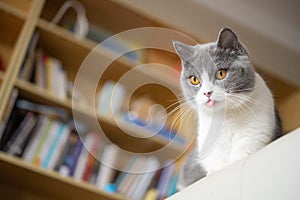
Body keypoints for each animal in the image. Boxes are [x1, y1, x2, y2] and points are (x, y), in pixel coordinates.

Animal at [172, 27, 282, 189]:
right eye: (194, 79)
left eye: (221, 73)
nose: (207, 93)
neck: (227, 118)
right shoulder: (209, 143)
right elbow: (215, 162)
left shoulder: (257, 131)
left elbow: (242, 153)